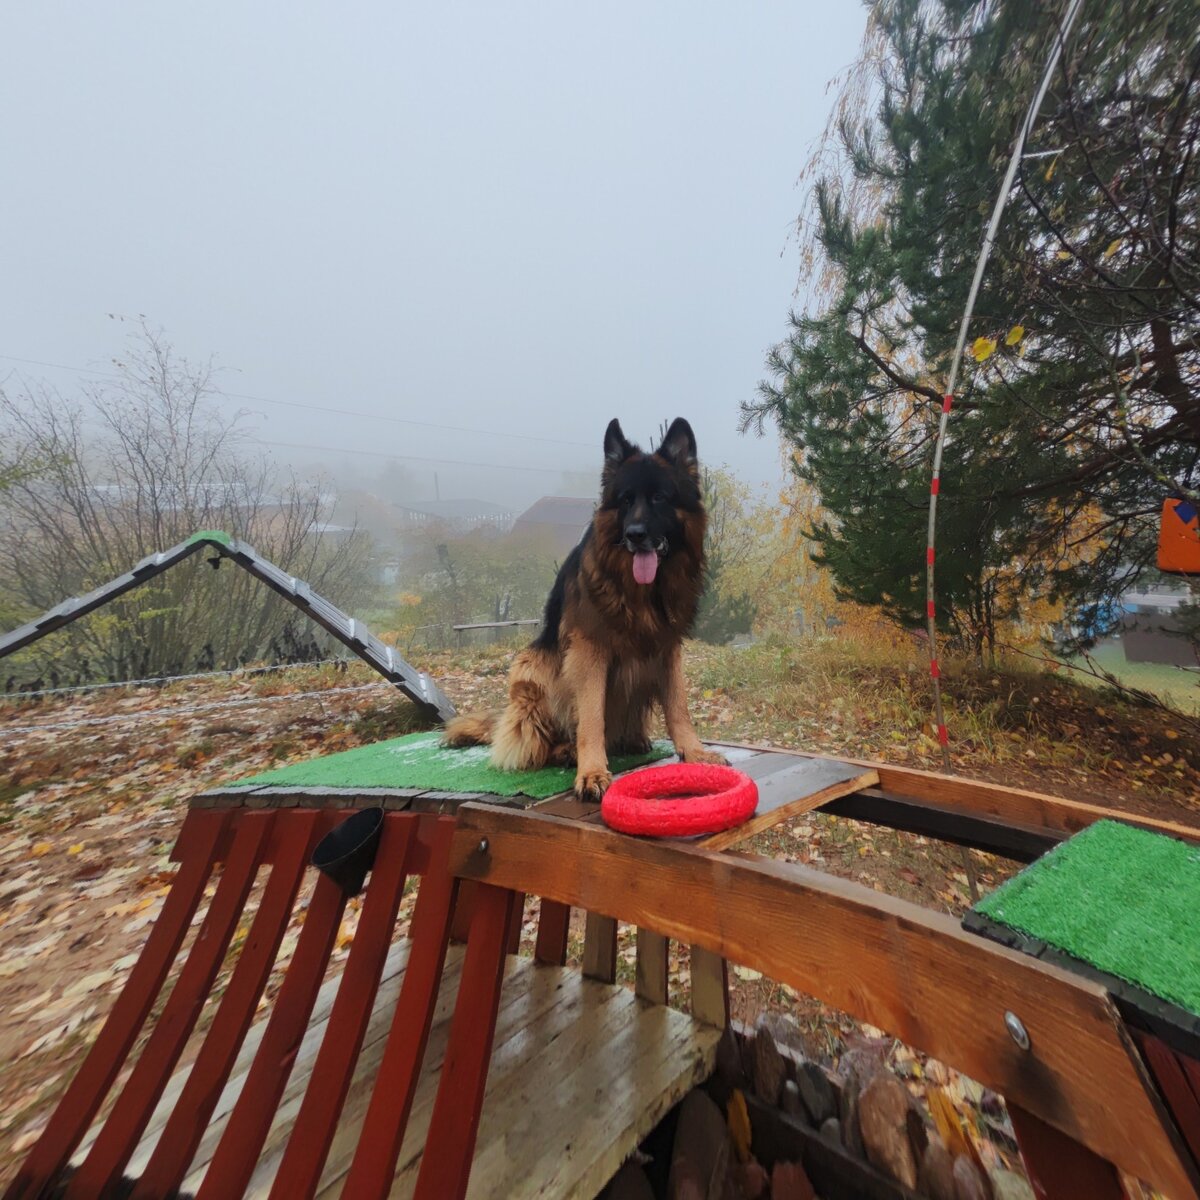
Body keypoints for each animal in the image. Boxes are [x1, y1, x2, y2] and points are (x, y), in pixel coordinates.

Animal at [448, 417, 729, 801]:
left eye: (659, 497)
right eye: (625, 500)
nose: (635, 534)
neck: (641, 593)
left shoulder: (668, 647)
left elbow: (678, 706)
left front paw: (695, 751)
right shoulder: (589, 652)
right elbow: (592, 716)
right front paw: (592, 771)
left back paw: (633, 740)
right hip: (532, 668)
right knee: (537, 743)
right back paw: (565, 750)